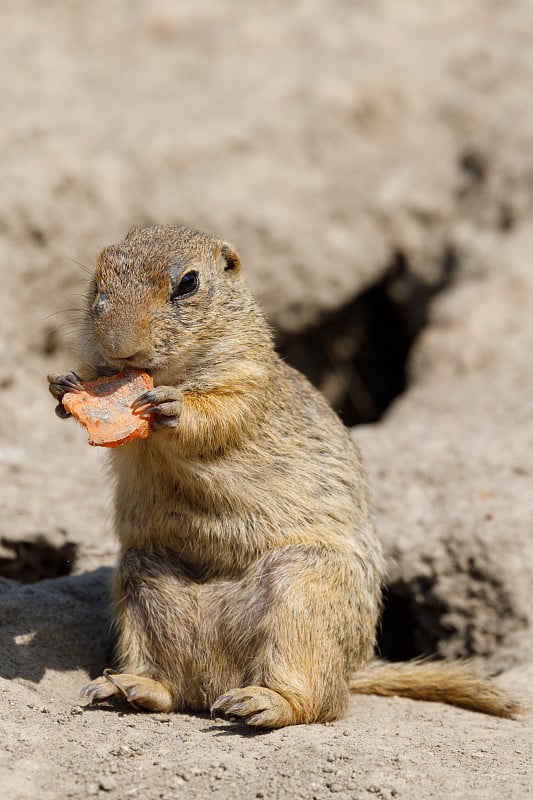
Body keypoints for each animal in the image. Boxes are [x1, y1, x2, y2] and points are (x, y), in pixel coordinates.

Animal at [48, 227, 516, 732]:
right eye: (98, 280)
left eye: (188, 283)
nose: (119, 347)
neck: (172, 373)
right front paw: (64, 387)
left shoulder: (249, 380)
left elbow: (219, 413)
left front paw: (171, 406)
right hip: (139, 585)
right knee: (172, 687)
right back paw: (126, 686)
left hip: (304, 592)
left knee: (323, 700)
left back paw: (260, 702)